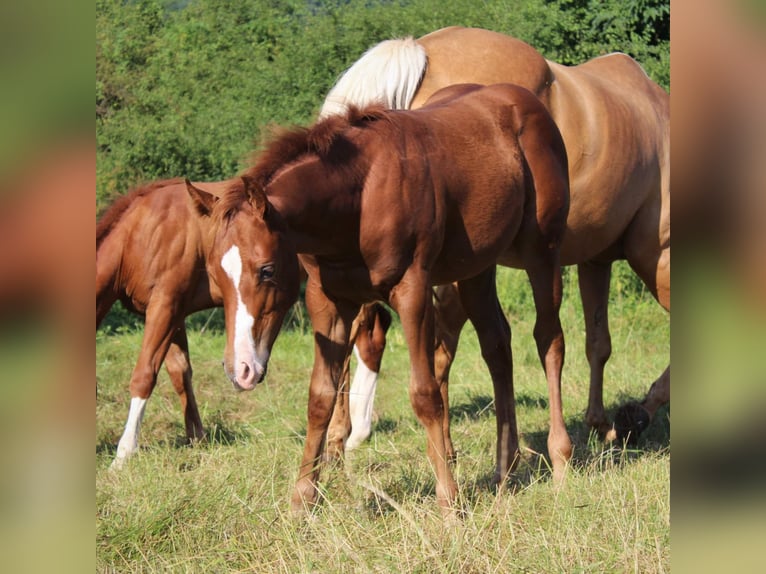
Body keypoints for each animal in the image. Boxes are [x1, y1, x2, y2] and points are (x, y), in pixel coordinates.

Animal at [96, 178, 390, 468]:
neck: (143, 231)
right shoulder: (171, 312)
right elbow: (180, 371)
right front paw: (197, 438)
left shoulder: (165, 303)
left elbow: (145, 374)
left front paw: (123, 455)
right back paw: (354, 435)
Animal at [195, 83, 572, 513]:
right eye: (215, 277)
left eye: (267, 270)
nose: (240, 370)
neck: (358, 197)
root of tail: (524, 101)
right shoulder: (328, 302)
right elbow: (321, 397)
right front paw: (301, 501)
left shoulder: (412, 292)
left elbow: (425, 394)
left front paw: (449, 503)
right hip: (476, 269)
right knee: (497, 345)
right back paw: (504, 470)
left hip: (543, 251)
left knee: (549, 340)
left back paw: (560, 461)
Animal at [321, 26, 670, 446]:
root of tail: (420, 51)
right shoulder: (658, 257)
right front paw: (636, 414)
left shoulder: (595, 259)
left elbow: (598, 343)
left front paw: (602, 422)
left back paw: (341, 438)